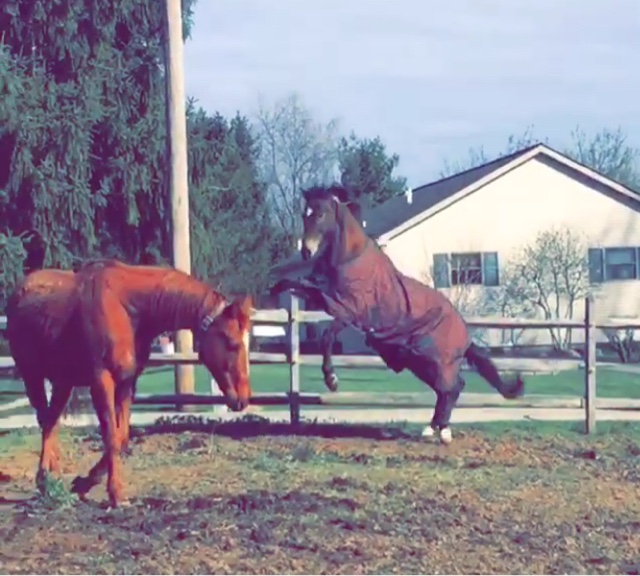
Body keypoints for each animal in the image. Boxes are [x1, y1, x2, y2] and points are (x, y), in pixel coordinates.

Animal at [6, 259, 253, 507]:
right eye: (233, 343)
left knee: (52, 422)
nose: (243, 399)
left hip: (63, 382)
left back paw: (54, 475)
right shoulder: (102, 381)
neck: (127, 308)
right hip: (32, 376)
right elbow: (111, 437)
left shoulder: (126, 382)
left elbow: (121, 435)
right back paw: (44, 479)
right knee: (45, 421)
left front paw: (86, 481)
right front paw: (115, 492)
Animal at [271, 185, 525, 444]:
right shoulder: (326, 298)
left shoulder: (349, 311)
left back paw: (442, 432)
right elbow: (297, 286)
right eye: (305, 214)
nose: (306, 251)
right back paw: (432, 429)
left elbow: (327, 337)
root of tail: (465, 334)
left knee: (452, 388)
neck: (350, 259)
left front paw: (332, 380)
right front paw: (276, 289)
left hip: (435, 361)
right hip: (419, 362)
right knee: (448, 389)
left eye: (321, 214)